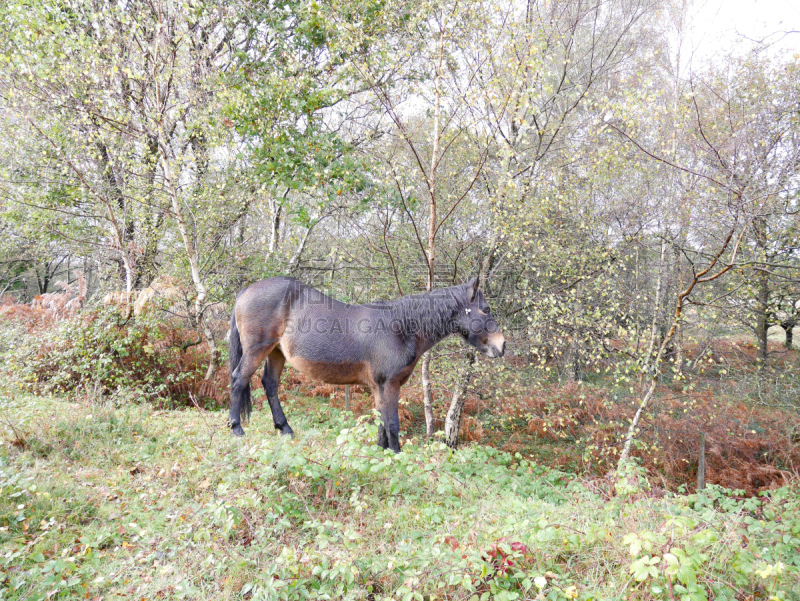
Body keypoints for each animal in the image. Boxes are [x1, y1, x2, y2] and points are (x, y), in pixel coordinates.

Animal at [228, 276, 504, 450]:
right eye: (487, 309)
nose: (501, 345)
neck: (401, 327)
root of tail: (244, 292)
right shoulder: (389, 385)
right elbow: (392, 422)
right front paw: (396, 454)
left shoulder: (378, 387)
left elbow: (381, 422)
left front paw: (381, 452)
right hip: (257, 349)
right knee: (239, 379)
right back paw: (236, 428)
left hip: (276, 353)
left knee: (270, 384)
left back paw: (285, 429)